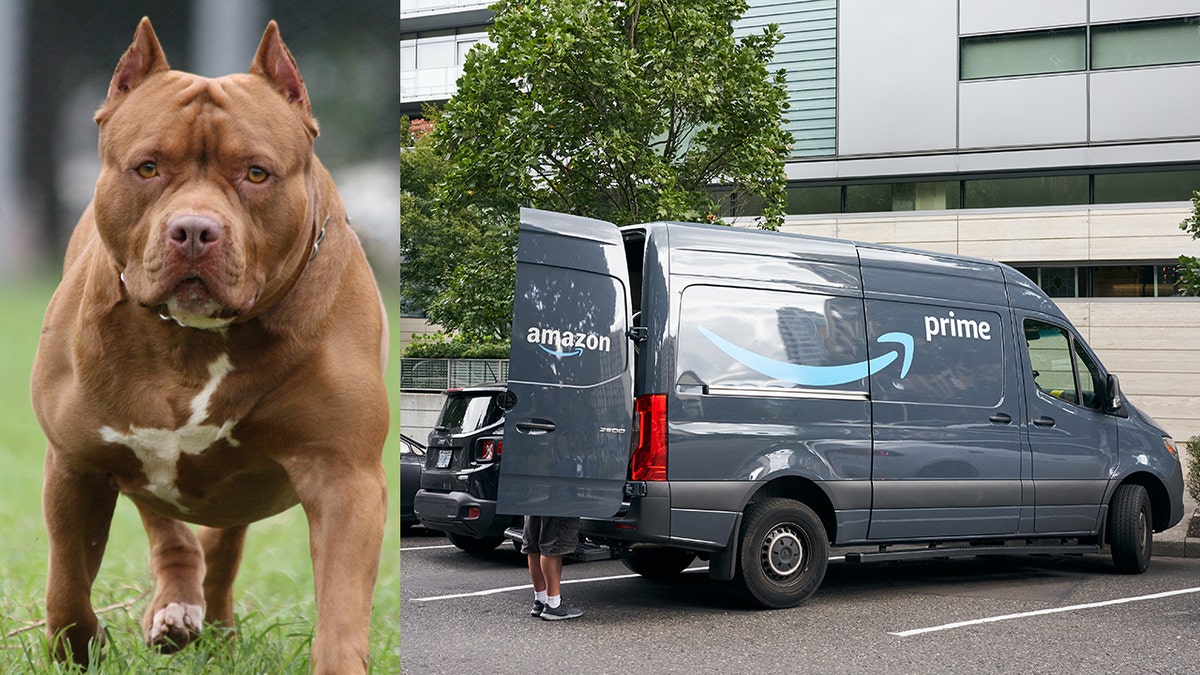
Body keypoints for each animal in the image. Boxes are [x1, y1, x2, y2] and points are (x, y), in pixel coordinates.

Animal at [30, 17, 388, 672]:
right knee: (170, 534)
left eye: (256, 173)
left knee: (220, 546)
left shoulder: (344, 475)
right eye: (148, 168)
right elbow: (66, 582)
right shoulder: (75, 463)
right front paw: (80, 648)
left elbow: (342, 606)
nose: (194, 230)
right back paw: (175, 611)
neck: (194, 340)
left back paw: (209, 622)